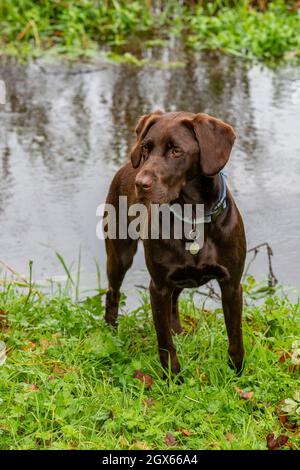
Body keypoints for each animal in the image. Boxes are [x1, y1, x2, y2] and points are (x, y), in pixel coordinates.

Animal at [105, 109, 246, 378]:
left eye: (176, 151)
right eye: (146, 148)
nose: (140, 184)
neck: (193, 216)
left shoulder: (232, 285)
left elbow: (235, 339)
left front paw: (237, 375)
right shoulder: (158, 286)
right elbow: (164, 343)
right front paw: (172, 378)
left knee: (174, 302)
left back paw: (179, 331)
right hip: (119, 255)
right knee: (112, 292)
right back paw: (110, 332)